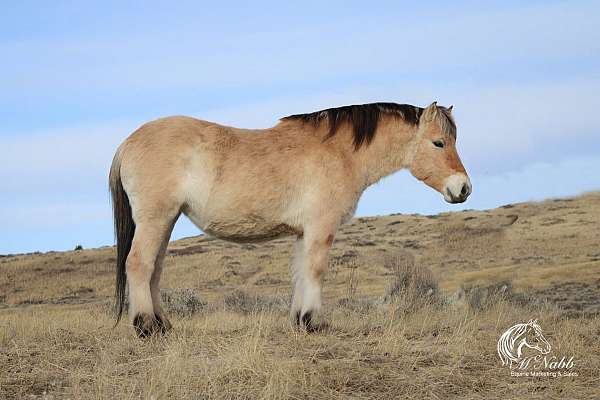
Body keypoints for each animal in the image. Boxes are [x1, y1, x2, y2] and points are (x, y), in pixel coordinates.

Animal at [110, 101, 472, 336]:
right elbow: (316, 269)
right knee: (139, 264)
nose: (463, 188)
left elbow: (300, 272)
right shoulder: (320, 227)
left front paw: (300, 319)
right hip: (156, 219)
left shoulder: (303, 232)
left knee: (154, 269)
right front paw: (314, 322)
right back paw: (146, 327)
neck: (339, 153)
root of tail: (128, 142)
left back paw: (163, 324)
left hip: (165, 222)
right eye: (438, 142)